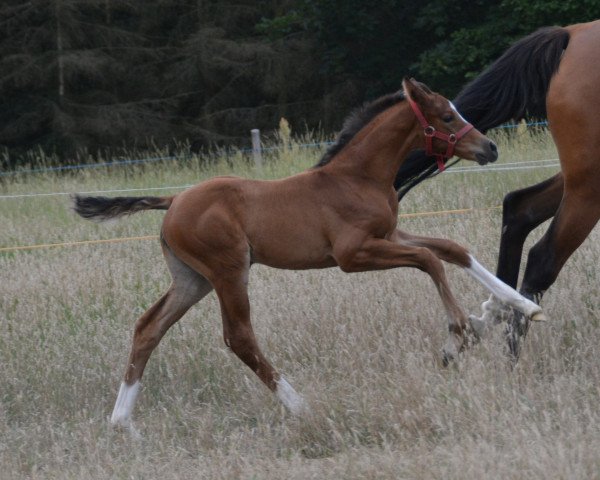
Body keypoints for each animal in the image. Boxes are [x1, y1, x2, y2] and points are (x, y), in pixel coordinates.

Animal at [74, 79, 544, 432]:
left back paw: (122, 422)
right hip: (228, 271)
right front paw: (459, 336)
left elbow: (450, 248)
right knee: (239, 337)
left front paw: (522, 306)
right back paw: (301, 406)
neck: (357, 177)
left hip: (193, 279)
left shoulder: (389, 233)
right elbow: (429, 261)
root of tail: (172, 201)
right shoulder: (353, 255)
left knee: (149, 327)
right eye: (447, 116)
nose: (490, 148)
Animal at [394, 20, 600, 356]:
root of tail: (573, 32)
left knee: (519, 208)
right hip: (588, 184)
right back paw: (513, 355)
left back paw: (496, 314)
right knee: (543, 257)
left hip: (578, 179)